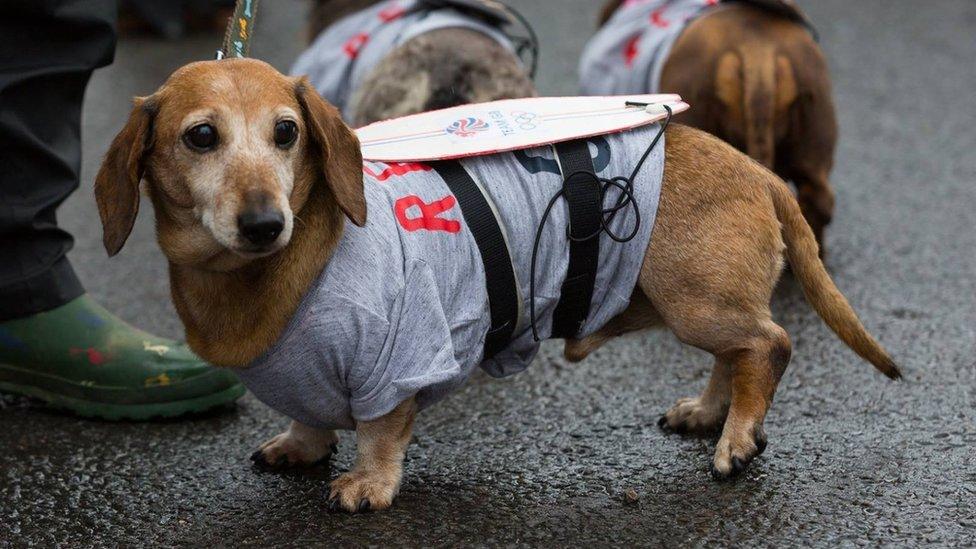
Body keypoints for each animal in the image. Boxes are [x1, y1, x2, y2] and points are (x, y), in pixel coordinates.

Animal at [95, 57, 896, 512]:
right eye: (202, 136)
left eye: (287, 132)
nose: (266, 223)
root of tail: (760, 172)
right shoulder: (304, 375)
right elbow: (311, 415)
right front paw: (300, 444)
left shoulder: (397, 362)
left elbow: (380, 431)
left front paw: (369, 484)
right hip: (701, 309)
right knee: (738, 355)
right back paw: (709, 412)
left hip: (700, 304)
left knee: (770, 344)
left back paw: (736, 436)